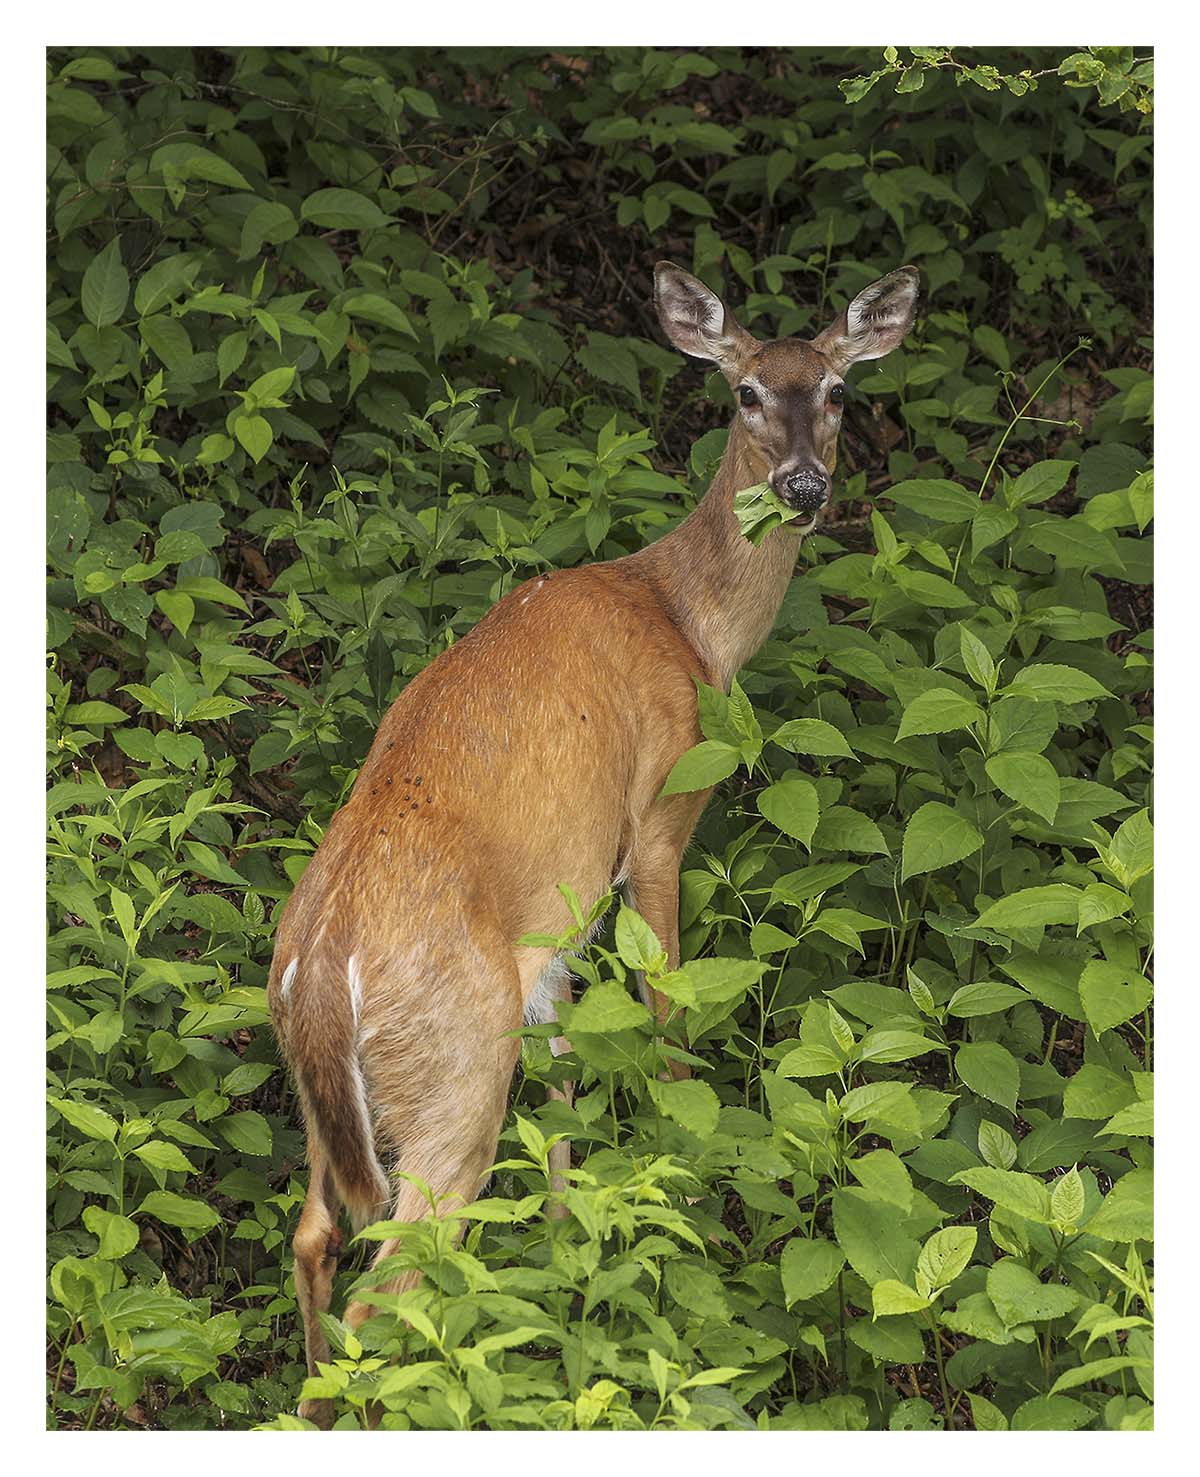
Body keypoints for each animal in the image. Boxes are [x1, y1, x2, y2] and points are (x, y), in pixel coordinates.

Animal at [267, 256, 916, 1417]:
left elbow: (569, 1085)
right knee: (383, 1292)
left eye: (840, 390)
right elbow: (666, 1025)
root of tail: (324, 966)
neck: (685, 619)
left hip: (323, 1093)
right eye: (747, 392)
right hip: (454, 1069)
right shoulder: (659, 815)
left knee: (310, 1239)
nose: (805, 486)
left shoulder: (553, 931)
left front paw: (577, 1260)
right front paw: (681, 1195)